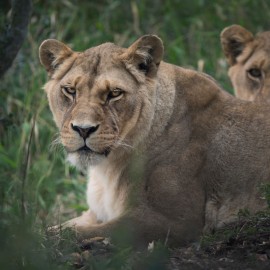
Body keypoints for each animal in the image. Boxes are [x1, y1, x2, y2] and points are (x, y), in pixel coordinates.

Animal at [39, 34, 270, 246]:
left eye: (115, 93)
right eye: (70, 90)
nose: (83, 129)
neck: (108, 167)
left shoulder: (177, 220)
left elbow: (74, 233)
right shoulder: (95, 213)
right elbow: (58, 227)